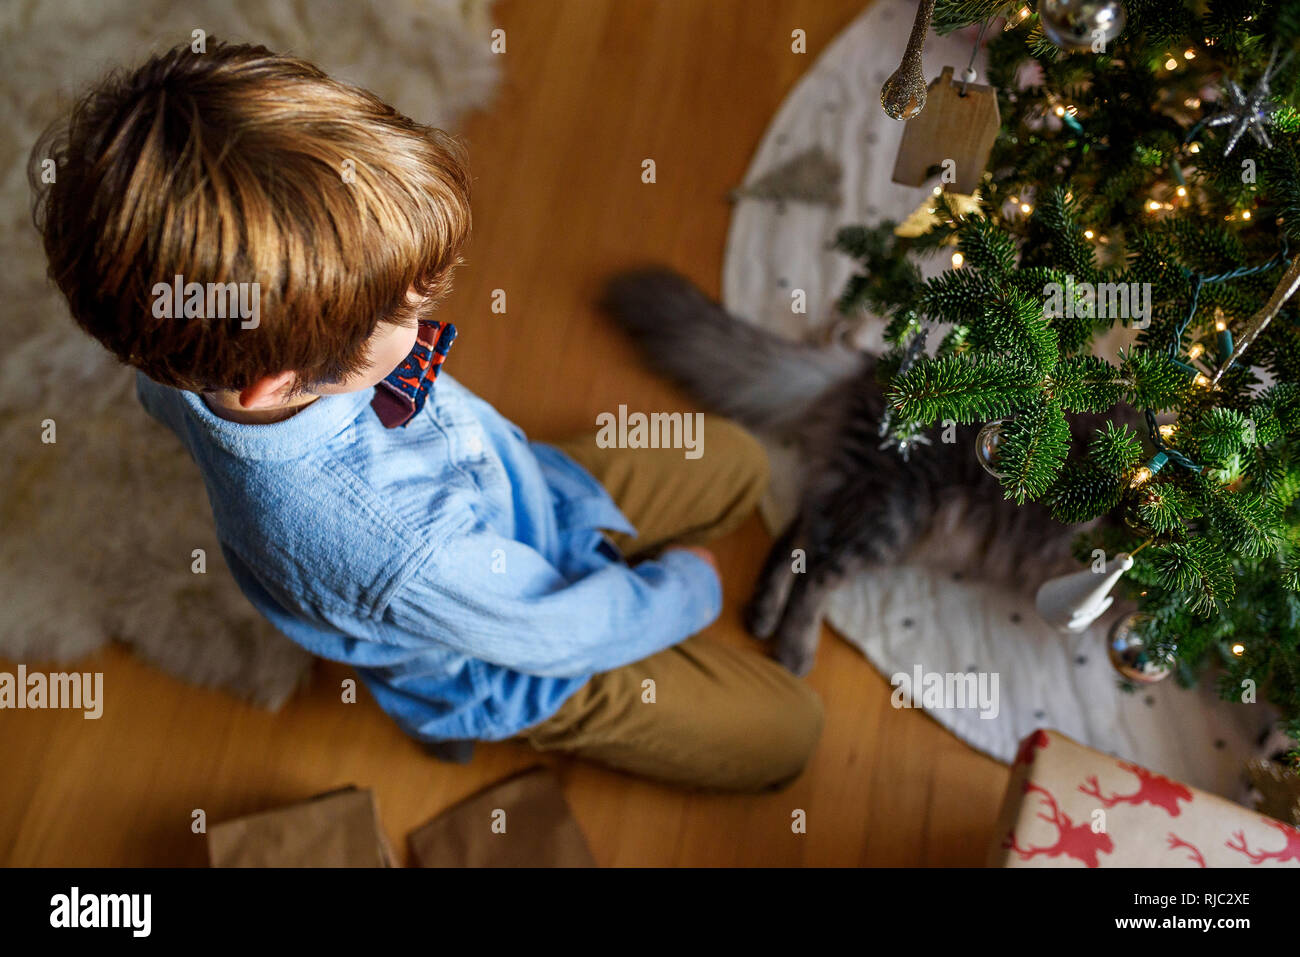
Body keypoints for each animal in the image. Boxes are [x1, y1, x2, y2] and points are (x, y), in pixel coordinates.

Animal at [603, 265, 1112, 676]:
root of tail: (871, 370)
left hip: (861, 496)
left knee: (798, 535)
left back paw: (763, 612)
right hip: (895, 514)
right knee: (817, 572)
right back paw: (794, 649)